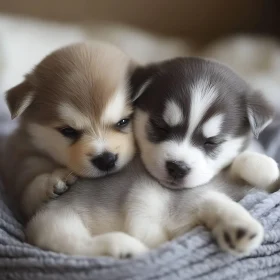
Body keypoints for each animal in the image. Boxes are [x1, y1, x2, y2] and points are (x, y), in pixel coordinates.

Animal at [2, 42, 136, 219]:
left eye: (123, 121)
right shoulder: (24, 165)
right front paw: (51, 181)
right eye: (68, 131)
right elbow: (29, 192)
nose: (106, 160)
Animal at [25, 57, 278, 258]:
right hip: (58, 222)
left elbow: (245, 167)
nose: (177, 167)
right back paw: (124, 248)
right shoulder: (174, 204)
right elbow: (210, 200)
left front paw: (264, 170)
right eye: (160, 127)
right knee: (77, 244)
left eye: (212, 142)